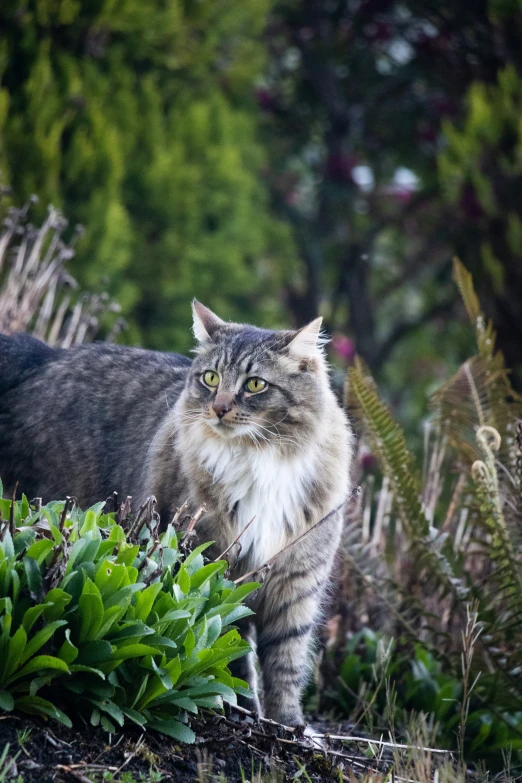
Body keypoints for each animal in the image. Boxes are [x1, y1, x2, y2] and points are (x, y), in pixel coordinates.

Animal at [0, 302, 354, 728]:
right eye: (211, 378)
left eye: (255, 385)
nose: (219, 408)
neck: (261, 461)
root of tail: (45, 356)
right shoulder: (220, 570)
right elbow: (232, 650)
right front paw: (240, 709)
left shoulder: (296, 582)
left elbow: (286, 663)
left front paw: (289, 725)